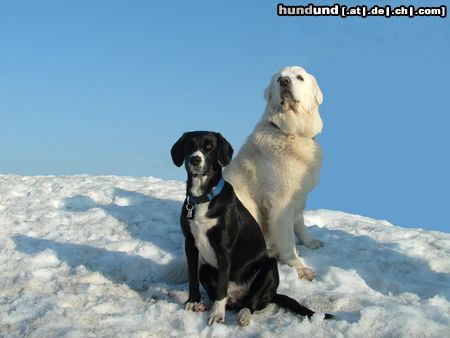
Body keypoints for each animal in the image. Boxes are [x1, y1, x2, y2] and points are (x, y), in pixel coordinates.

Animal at [171, 131, 332, 326]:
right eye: (189, 145)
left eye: (209, 147)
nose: (195, 160)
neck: (203, 198)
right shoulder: (190, 243)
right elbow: (192, 276)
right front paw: (193, 301)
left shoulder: (224, 247)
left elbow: (222, 284)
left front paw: (217, 314)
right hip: (206, 269)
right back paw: (210, 305)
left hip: (269, 267)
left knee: (252, 302)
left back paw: (244, 314)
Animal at [224, 65, 324, 280]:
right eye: (279, 79)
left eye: (299, 77)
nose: (285, 82)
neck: (290, 131)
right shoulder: (281, 201)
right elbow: (287, 238)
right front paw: (298, 266)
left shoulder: (299, 195)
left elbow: (300, 221)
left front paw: (309, 241)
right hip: (246, 207)